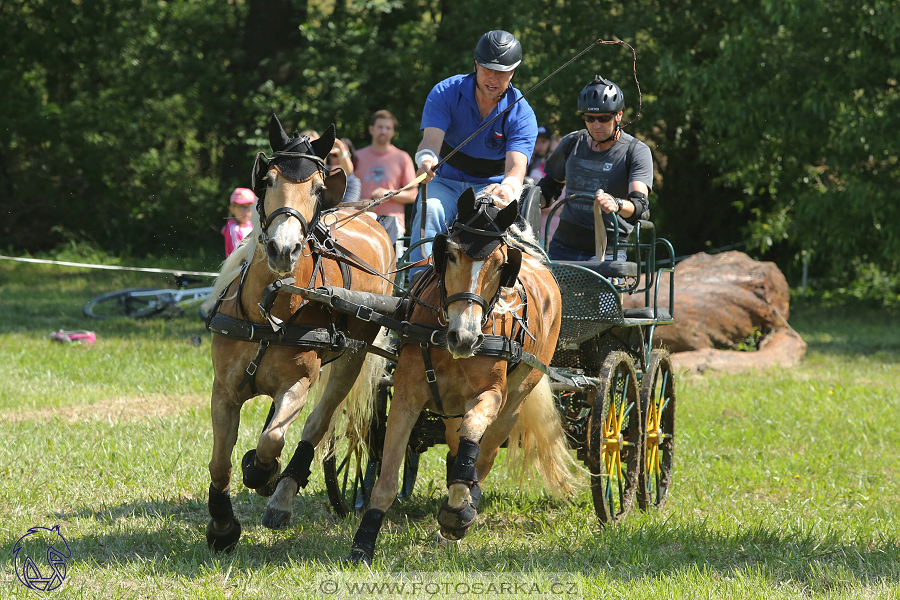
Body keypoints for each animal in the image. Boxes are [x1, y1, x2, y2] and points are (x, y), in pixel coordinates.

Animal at [209, 115, 396, 552]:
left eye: (316, 187)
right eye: (268, 179)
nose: (283, 248)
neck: (269, 308)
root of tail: (366, 216)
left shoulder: (297, 383)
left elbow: (274, 440)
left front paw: (263, 474)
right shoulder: (223, 390)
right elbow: (220, 462)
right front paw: (222, 526)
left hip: (352, 358)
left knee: (318, 423)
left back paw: (282, 495)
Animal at [344, 190, 584, 564]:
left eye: (501, 264)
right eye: (451, 254)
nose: (466, 338)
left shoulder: (490, 397)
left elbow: (473, 450)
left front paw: (457, 513)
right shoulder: (406, 398)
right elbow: (386, 480)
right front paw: (364, 542)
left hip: (515, 398)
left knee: (485, 453)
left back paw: (461, 513)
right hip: (450, 407)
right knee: (456, 446)